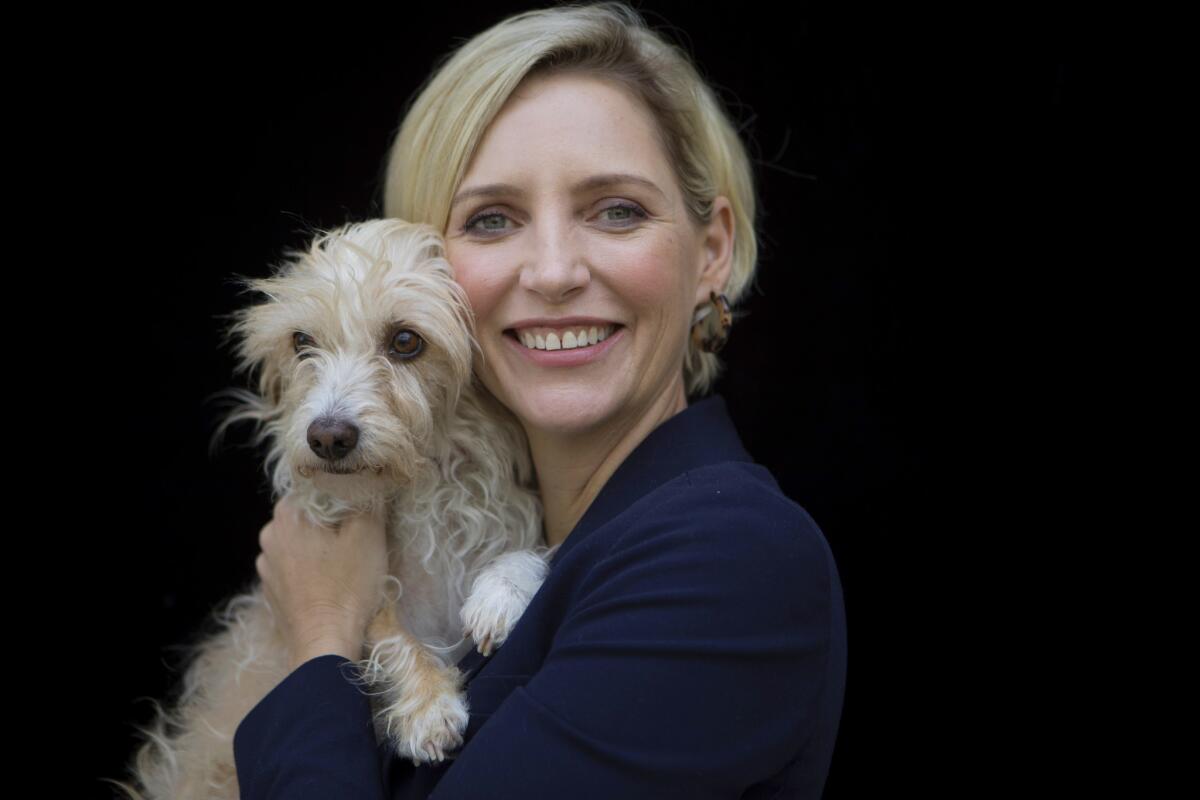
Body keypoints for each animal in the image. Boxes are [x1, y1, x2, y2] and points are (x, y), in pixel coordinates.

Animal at [112, 219, 552, 800]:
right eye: (302, 341)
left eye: (406, 341)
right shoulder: (369, 596)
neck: (422, 490)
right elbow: (386, 626)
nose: (327, 437)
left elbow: (531, 551)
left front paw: (502, 591)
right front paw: (427, 706)